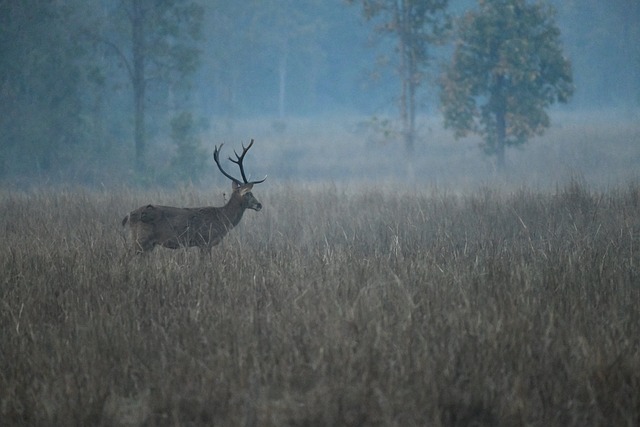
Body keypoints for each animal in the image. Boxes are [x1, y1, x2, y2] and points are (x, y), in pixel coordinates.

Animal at [122, 140, 264, 254]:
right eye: (248, 194)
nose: (259, 205)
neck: (222, 219)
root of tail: (128, 216)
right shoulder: (206, 241)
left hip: (146, 243)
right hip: (141, 240)